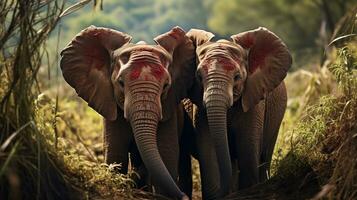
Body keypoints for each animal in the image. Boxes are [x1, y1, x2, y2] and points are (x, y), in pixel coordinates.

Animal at [59, 25, 196, 199]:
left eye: (166, 86)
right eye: (121, 83)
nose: (183, 197)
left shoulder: (168, 110)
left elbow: (166, 157)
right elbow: (115, 156)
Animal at [185, 27, 290, 199]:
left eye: (237, 77)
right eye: (199, 77)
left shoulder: (254, 101)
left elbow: (248, 149)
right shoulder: (199, 108)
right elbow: (208, 149)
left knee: (265, 156)